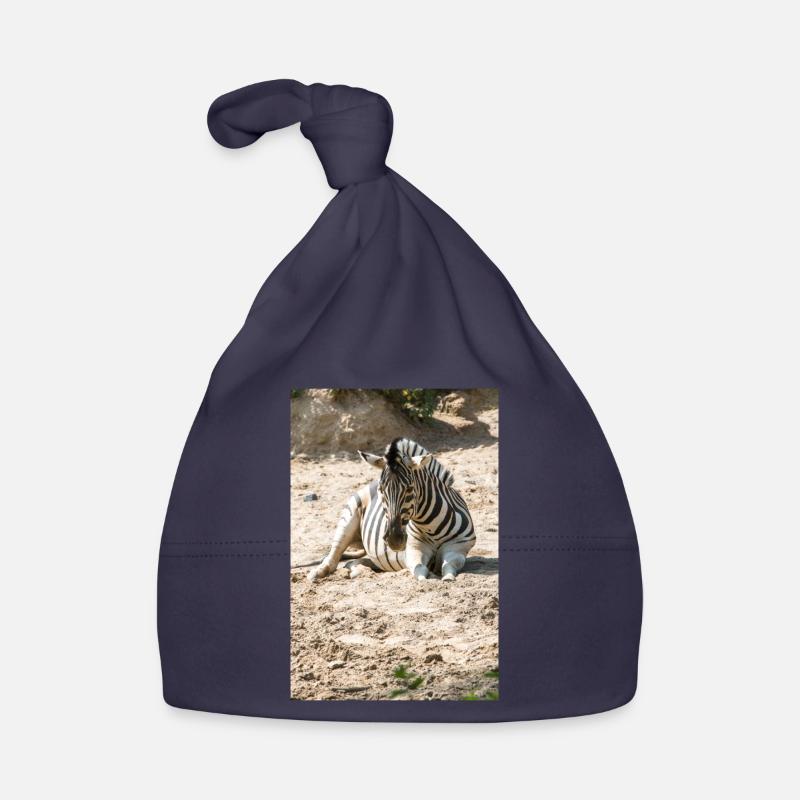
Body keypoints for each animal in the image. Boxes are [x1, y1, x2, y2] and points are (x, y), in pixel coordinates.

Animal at [307, 438, 475, 582]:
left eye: (409, 489)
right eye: (382, 489)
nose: (394, 540)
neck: (431, 527)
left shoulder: (458, 548)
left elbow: (448, 566)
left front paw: (447, 577)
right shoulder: (413, 549)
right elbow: (420, 570)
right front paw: (430, 577)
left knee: (355, 562)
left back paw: (358, 571)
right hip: (348, 518)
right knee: (334, 553)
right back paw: (317, 573)